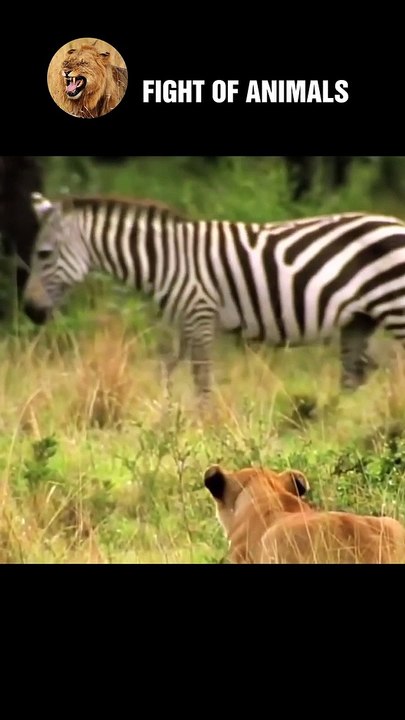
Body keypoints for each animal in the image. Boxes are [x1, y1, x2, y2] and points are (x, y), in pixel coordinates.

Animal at [22, 191, 405, 401]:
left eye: (43, 254)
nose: (29, 311)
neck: (166, 260)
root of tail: (396, 222)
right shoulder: (182, 324)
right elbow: (167, 373)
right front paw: (166, 426)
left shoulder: (200, 313)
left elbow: (201, 381)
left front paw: (204, 433)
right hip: (360, 320)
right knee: (353, 379)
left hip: (395, 307)